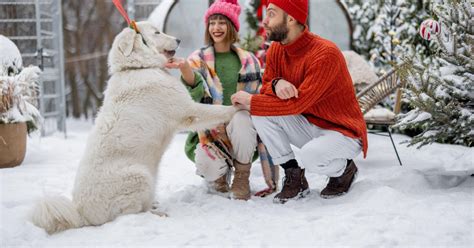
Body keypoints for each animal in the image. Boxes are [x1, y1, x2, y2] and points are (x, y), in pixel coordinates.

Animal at [31, 21, 235, 234]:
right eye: (157, 32)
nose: (179, 40)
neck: (137, 67)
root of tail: (80, 214)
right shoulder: (189, 110)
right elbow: (219, 111)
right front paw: (238, 106)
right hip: (140, 176)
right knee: (130, 213)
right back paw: (156, 214)